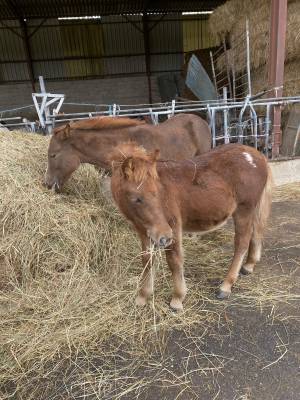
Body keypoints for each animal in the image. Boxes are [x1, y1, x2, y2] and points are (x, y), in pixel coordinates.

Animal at [109, 142, 272, 310]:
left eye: (158, 193)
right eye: (137, 199)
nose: (165, 236)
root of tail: (256, 155)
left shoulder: (172, 226)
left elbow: (174, 260)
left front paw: (177, 299)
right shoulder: (144, 230)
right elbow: (147, 260)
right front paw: (142, 297)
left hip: (243, 210)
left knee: (242, 243)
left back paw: (225, 286)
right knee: (256, 233)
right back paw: (249, 265)